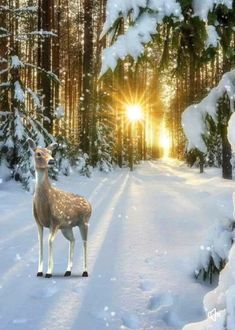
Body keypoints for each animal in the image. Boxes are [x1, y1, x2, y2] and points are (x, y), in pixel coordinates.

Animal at [27, 138, 92, 278]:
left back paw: (85, 272)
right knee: (73, 240)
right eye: (38, 153)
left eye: (51, 152)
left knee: (85, 242)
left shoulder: (55, 221)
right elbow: (40, 242)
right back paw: (68, 271)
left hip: (84, 222)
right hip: (67, 227)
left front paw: (48, 272)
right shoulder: (38, 222)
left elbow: (49, 241)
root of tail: (89, 203)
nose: (52, 161)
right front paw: (39, 272)